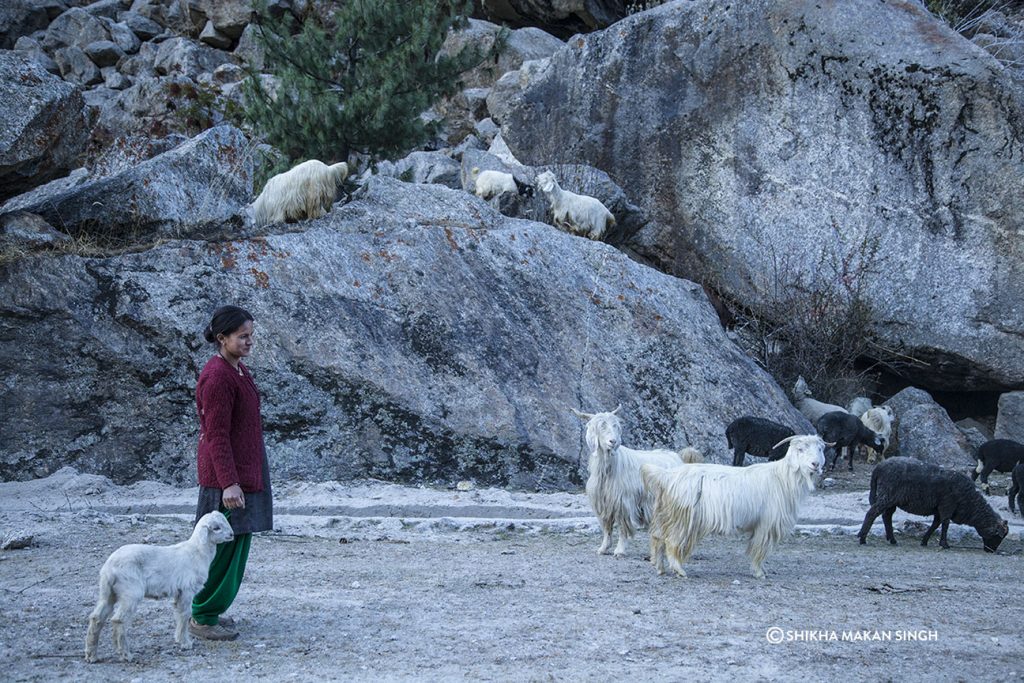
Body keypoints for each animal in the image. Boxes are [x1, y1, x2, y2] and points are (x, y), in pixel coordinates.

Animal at [84, 511, 234, 663]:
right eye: (216, 528)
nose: (232, 534)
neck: (198, 552)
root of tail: (109, 568)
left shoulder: (179, 593)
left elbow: (179, 613)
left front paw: (179, 638)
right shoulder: (187, 589)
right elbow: (185, 614)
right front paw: (185, 643)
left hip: (108, 592)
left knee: (96, 618)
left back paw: (91, 655)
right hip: (130, 591)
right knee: (118, 620)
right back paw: (125, 654)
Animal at [573, 405, 700, 557]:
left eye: (615, 426)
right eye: (601, 426)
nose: (613, 441)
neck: (609, 468)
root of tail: (679, 458)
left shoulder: (623, 503)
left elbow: (623, 528)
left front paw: (619, 551)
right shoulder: (603, 503)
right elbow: (607, 528)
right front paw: (603, 548)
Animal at [643, 436, 827, 581]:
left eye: (819, 449)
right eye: (801, 449)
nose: (815, 464)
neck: (782, 478)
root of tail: (666, 476)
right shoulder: (766, 524)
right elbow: (760, 550)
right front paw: (759, 572)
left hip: (667, 514)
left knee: (657, 538)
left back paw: (660, 568)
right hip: (682, 518)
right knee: (671, 542)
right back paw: (679, 570)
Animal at [856, 456, 1007, 552]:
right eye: (998, 536)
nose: (991, 551)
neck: (970, 503)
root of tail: (878, 467)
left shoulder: (939, 509)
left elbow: (935, 525)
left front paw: (924, 541)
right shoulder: (947, 506)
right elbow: (945, 524)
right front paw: (944, 544)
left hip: (892, 500)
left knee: (886, 516)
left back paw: (892, 539)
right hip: (887, 494)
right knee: (872, 513)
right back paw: (862, 538)